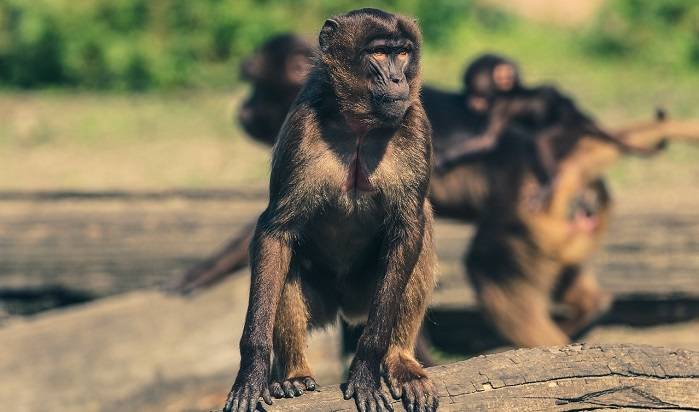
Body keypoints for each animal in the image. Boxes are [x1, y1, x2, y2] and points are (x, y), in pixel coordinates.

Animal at [224, 9, 438, 412]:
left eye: (402, 52)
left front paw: (367, 366)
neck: (359, 125)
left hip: (366, 294)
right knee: (285, 258)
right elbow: (275, 232)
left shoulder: (416, 123)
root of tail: (345, 307)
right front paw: (252, 371)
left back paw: (400, 359)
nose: (398, 79)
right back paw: (294, 374)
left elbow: (408, 228)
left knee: (422, 230)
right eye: (379, 52)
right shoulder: (301, 127)